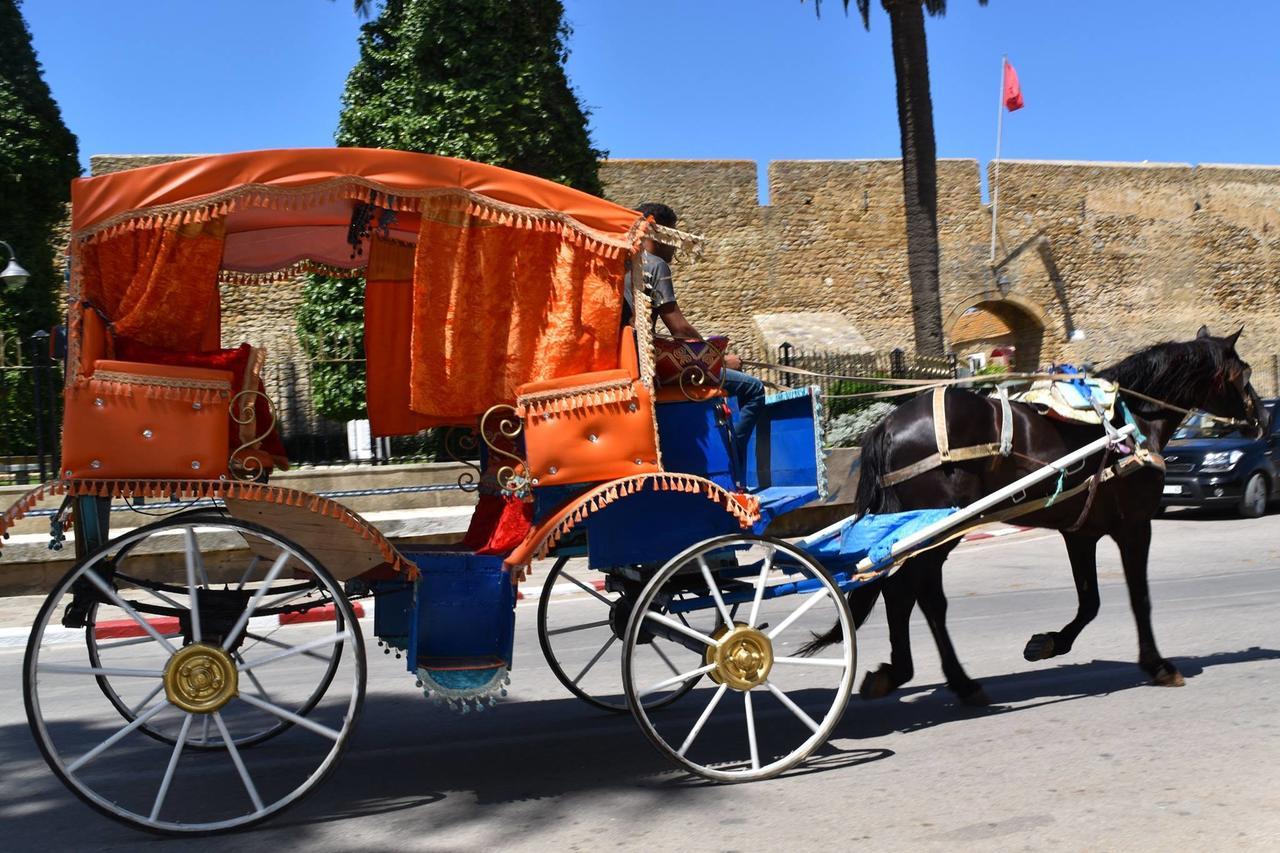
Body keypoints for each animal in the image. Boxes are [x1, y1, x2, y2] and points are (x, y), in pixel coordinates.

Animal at [803, 326, 1264, 701]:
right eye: (1245, 374)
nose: (1260, 418)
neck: (1129, 421)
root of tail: (888, 425)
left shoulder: (1081, 532)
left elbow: (1090, 601)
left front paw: (1049, 644)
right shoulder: (1134, 527)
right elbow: (1139, 599)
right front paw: (1158, 665)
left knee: (910, 595)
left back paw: (927, 678)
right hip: (938, 531)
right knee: (916, 596)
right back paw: (943, 680)